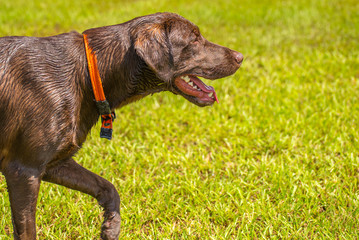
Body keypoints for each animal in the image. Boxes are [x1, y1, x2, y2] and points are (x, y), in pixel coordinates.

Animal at [0, 12, 245, 238]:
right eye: (194, 39)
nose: (241, 56)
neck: (89, 72)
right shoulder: (24, 169)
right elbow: (27, 231)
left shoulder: (54, 164)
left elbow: (107, 187)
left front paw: (111, 226)